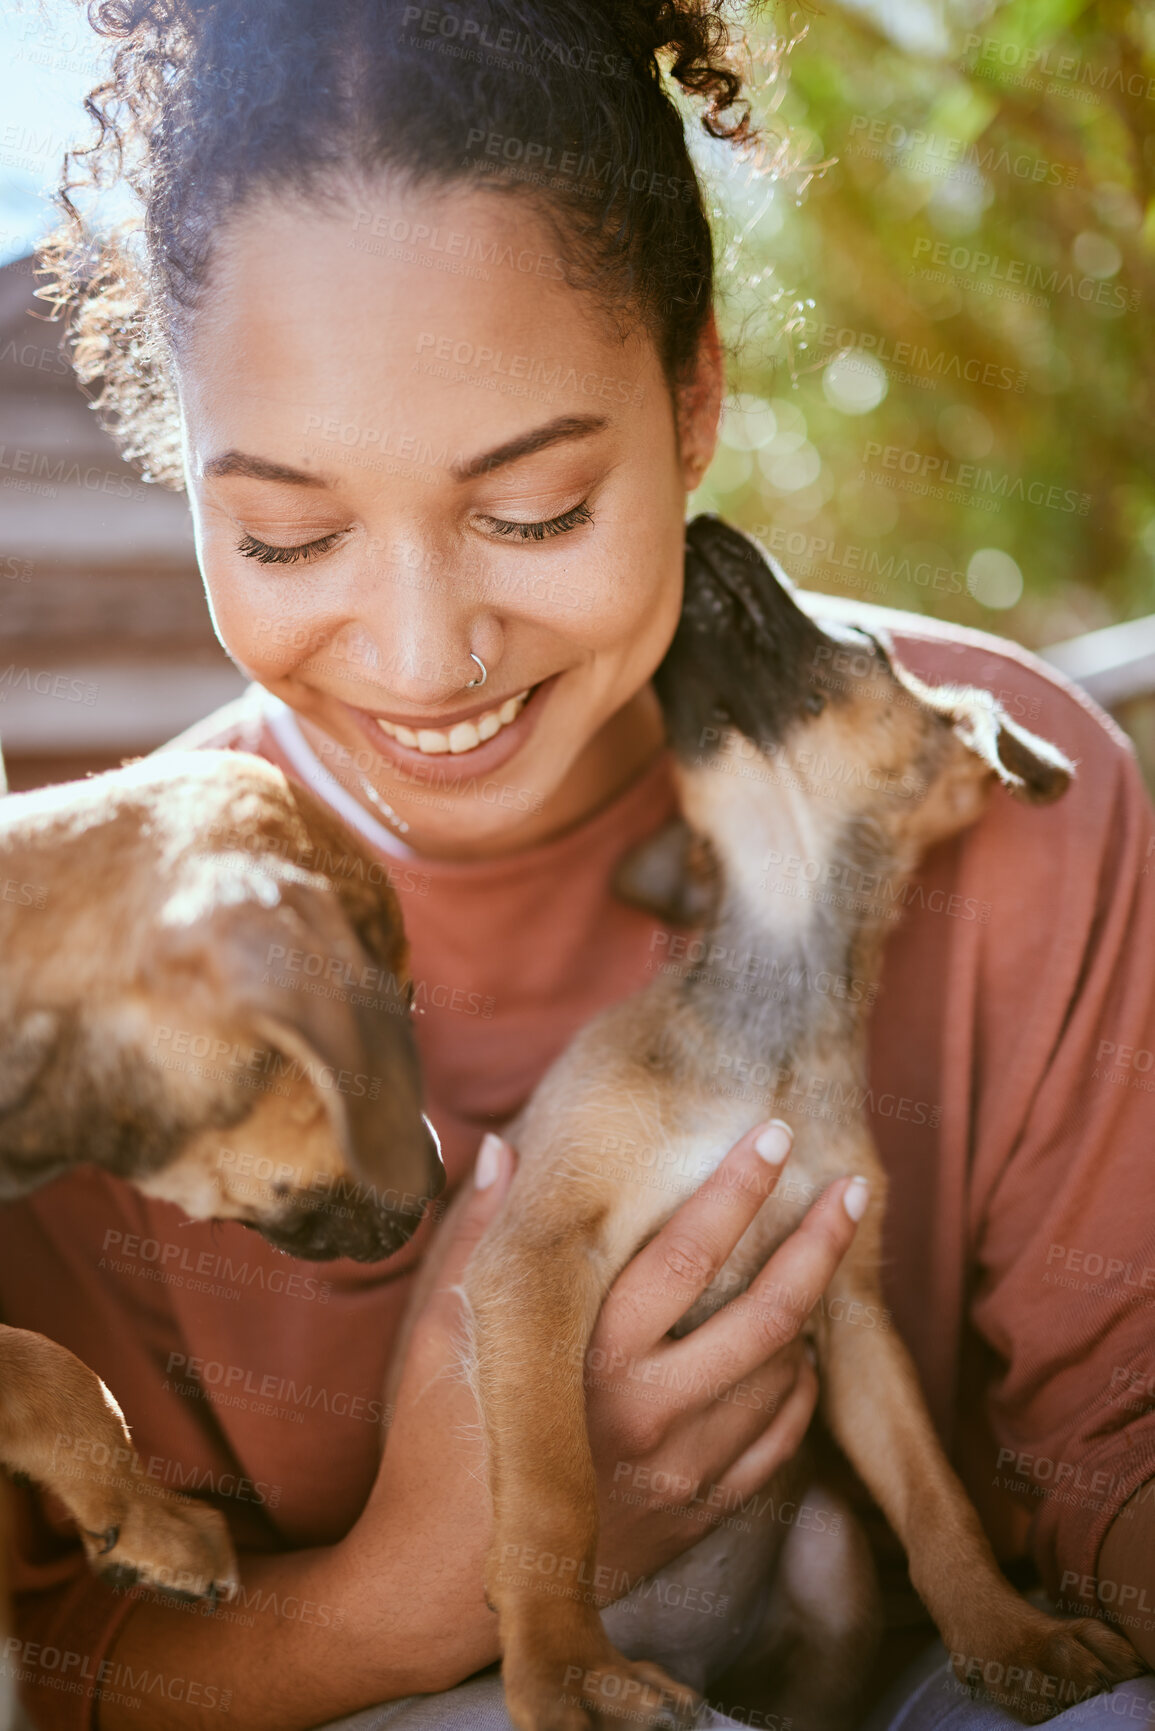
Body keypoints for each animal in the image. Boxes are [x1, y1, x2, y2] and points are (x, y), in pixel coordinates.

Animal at [0, 751, 446, 1654]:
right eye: (397, 1013)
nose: (447, 1173)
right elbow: (47, 1364)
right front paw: (156, 1527)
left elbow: (60, 1365)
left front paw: (141, 1522)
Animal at [464, 519, 1149, 1731]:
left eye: (864, 640)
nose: (702, 526)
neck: (773, 1010)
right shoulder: (538, 1254)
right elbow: (551, 1486)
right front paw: (563, 1663)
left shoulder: (854, 1313)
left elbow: (935, 1494)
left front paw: (1012, 1633)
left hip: (832, 1567)